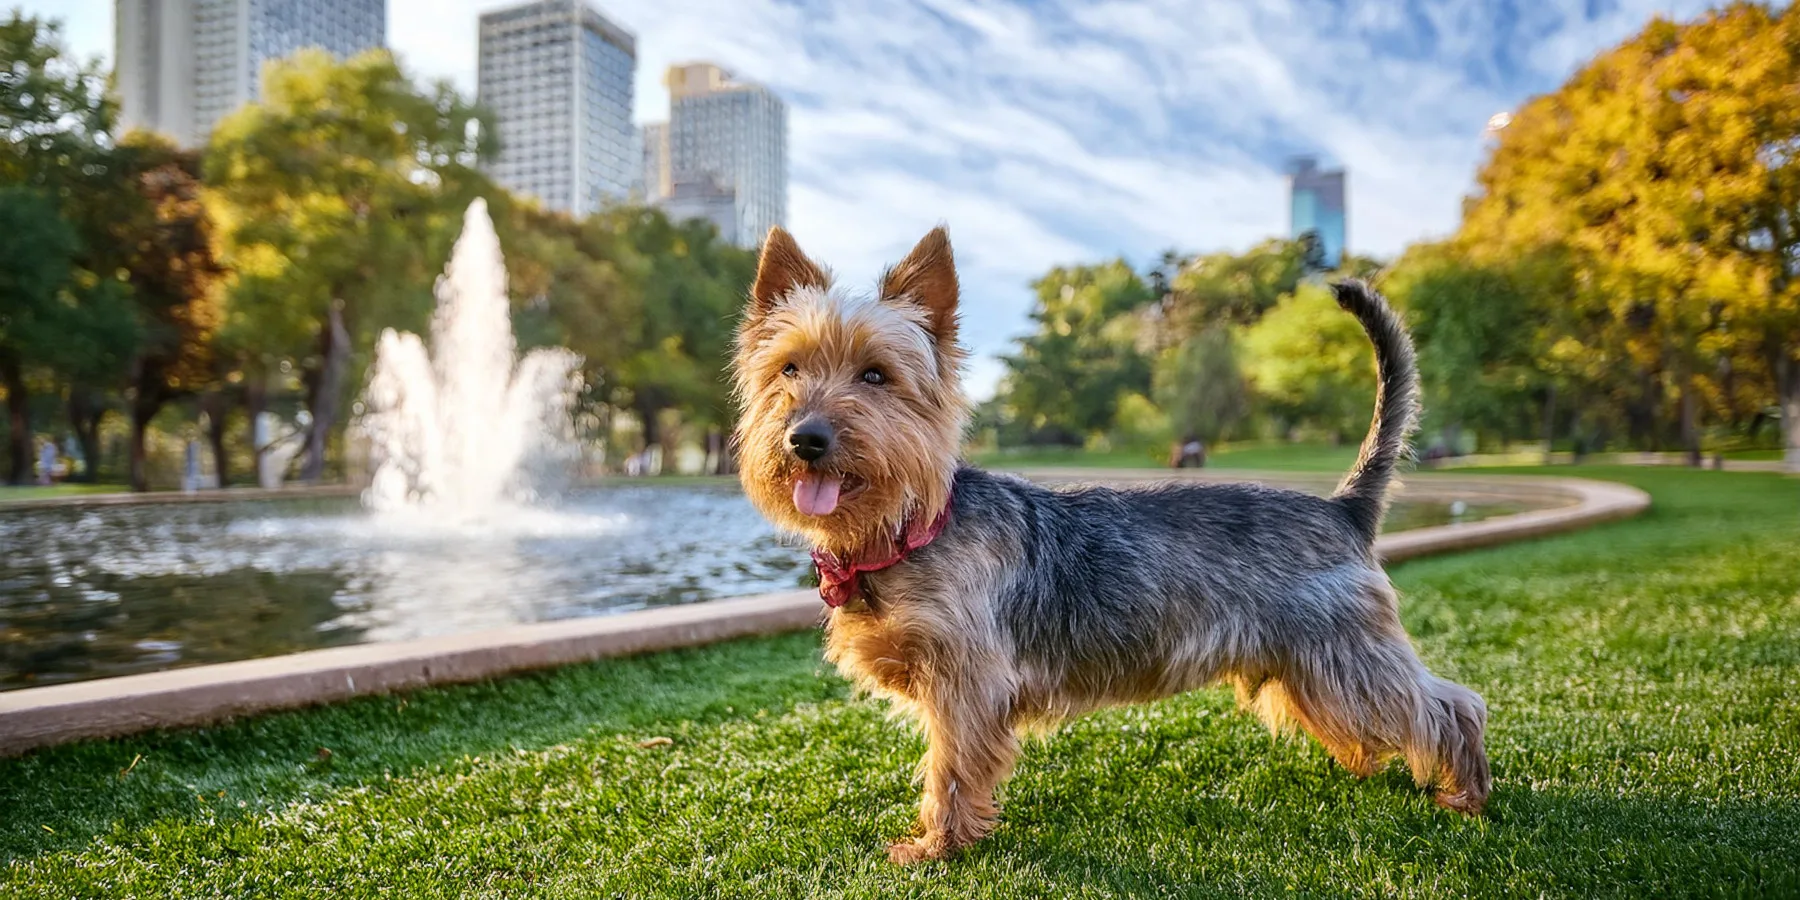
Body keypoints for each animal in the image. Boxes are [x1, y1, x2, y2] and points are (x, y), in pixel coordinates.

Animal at [727, 226, 1490, 864]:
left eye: (876, 375)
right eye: (789, 369)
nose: (805, 437)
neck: (907, 528)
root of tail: (1343, 508)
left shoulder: (965, 683)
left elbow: (949, 769)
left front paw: (936, 847)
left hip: (1345, 652)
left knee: (1452, 706)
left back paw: (1467, 793)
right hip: (1310, 668)